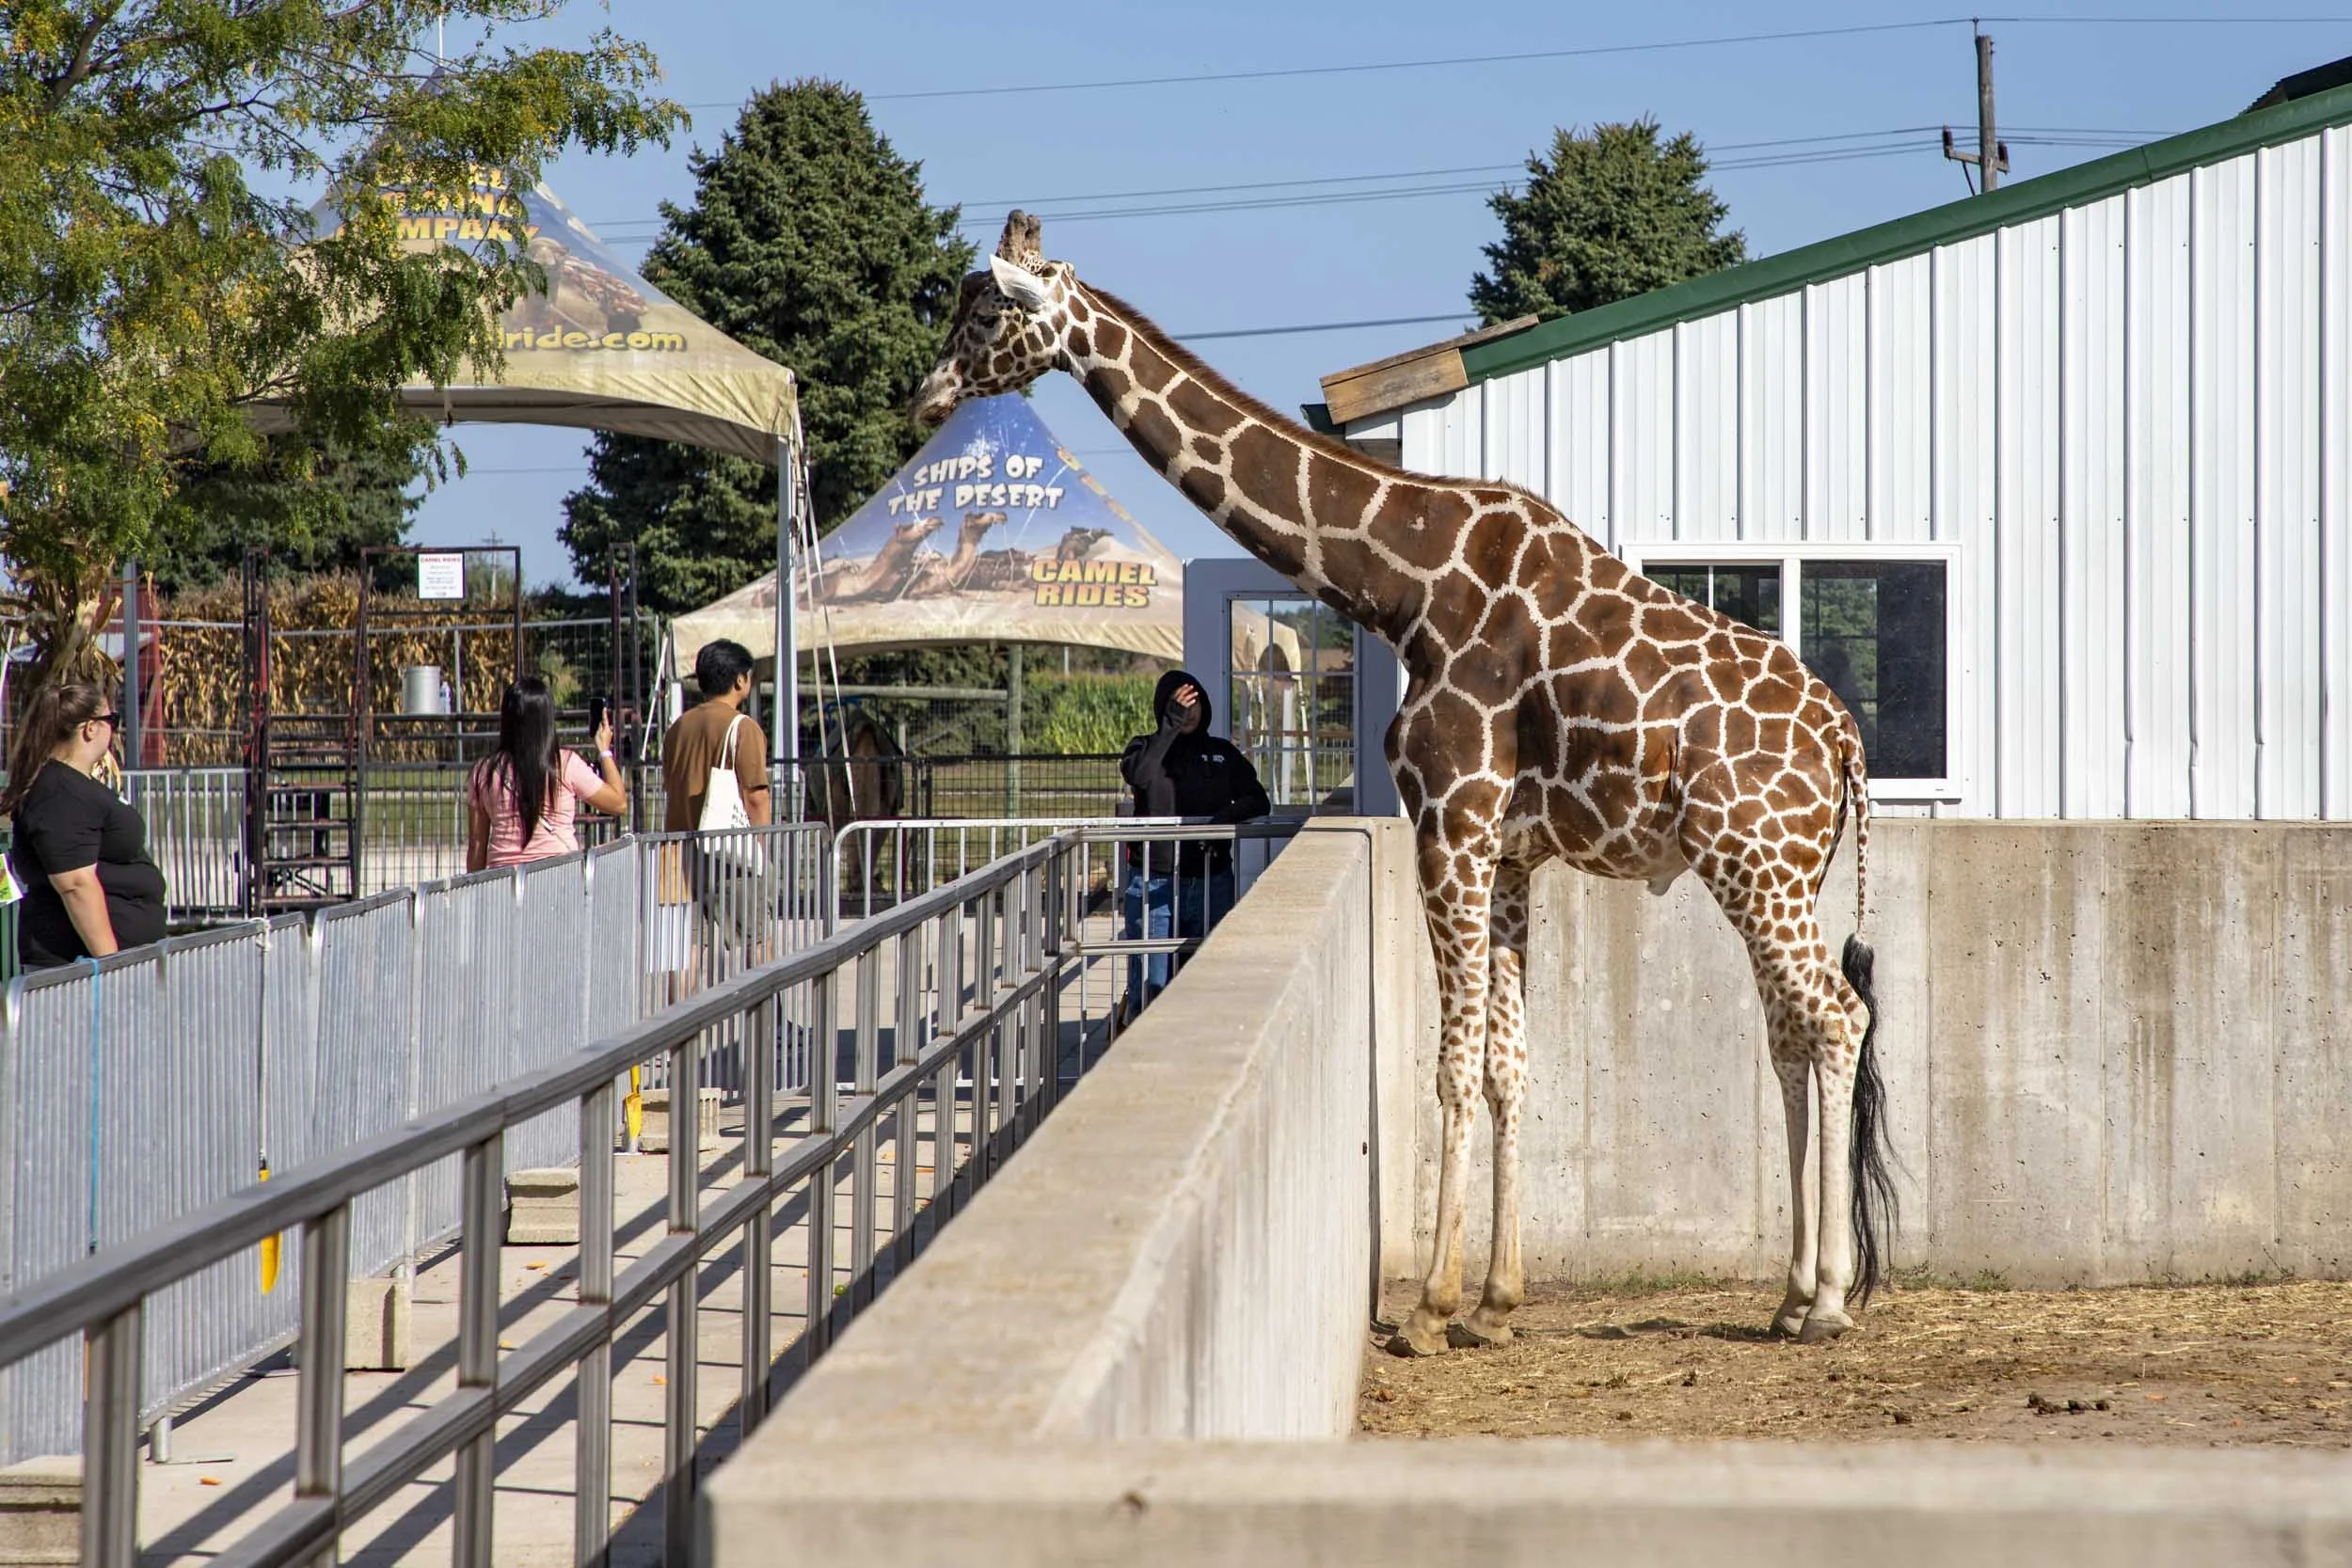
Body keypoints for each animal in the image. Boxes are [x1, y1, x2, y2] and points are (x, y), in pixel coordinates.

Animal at [915, 211, 1899, 1354]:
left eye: (986, 311)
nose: (925, 396)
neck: (1402, 584)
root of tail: (1844, 740)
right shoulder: (1509, 850)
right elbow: (1510, 1062)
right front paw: (1496, 1299)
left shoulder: (1450, 818)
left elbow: (1453, 1062)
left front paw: (1431, 1305)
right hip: (1775, 872)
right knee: (1789, 1031)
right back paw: (1787, 1294)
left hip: (1756, 863)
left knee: (1835, 1017)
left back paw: (1828, 1298)